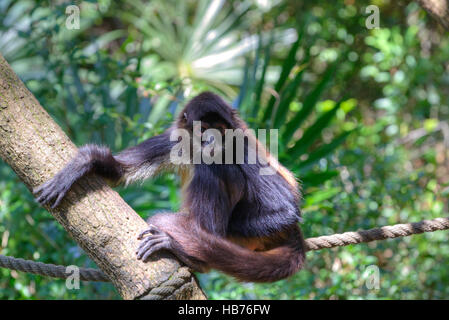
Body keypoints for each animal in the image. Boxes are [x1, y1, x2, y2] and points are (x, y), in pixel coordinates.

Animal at [35, 91, 306, 282]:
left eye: (219, 129)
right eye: (203, 129)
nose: (212, 140)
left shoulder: (241, 145)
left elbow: (286, 211)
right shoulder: (175, 139)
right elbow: (121, 172)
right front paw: (86, 161)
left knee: (216, 167)